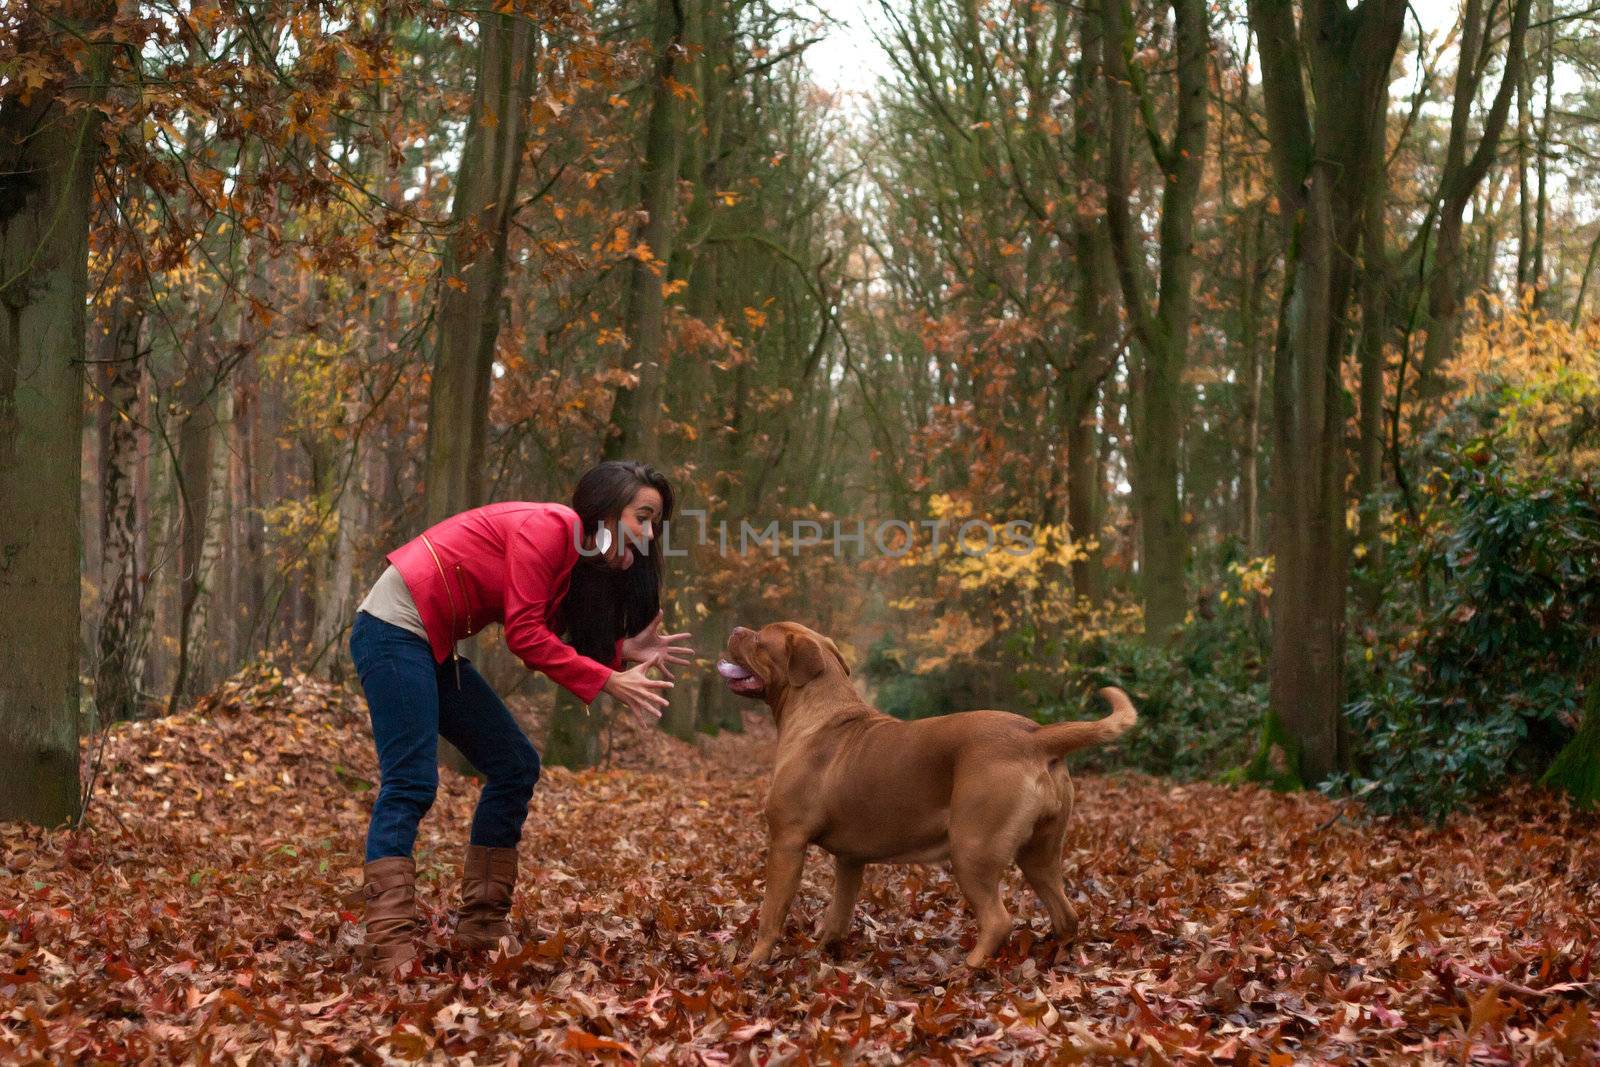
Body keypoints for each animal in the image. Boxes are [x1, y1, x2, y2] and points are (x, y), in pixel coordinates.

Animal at [720, 620, 1132, 972]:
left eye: (759, 639)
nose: (736, 628)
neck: (819, 711)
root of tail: (1036, 736)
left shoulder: (787, 841)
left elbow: (771, 912)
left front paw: (754, 962)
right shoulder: (850, 860)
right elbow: (839, 913)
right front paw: (824, 952)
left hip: (972, 849)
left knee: (998, 920)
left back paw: (967, 968)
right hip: (1040, 854)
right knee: (1067, 915)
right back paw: (1055, 954)